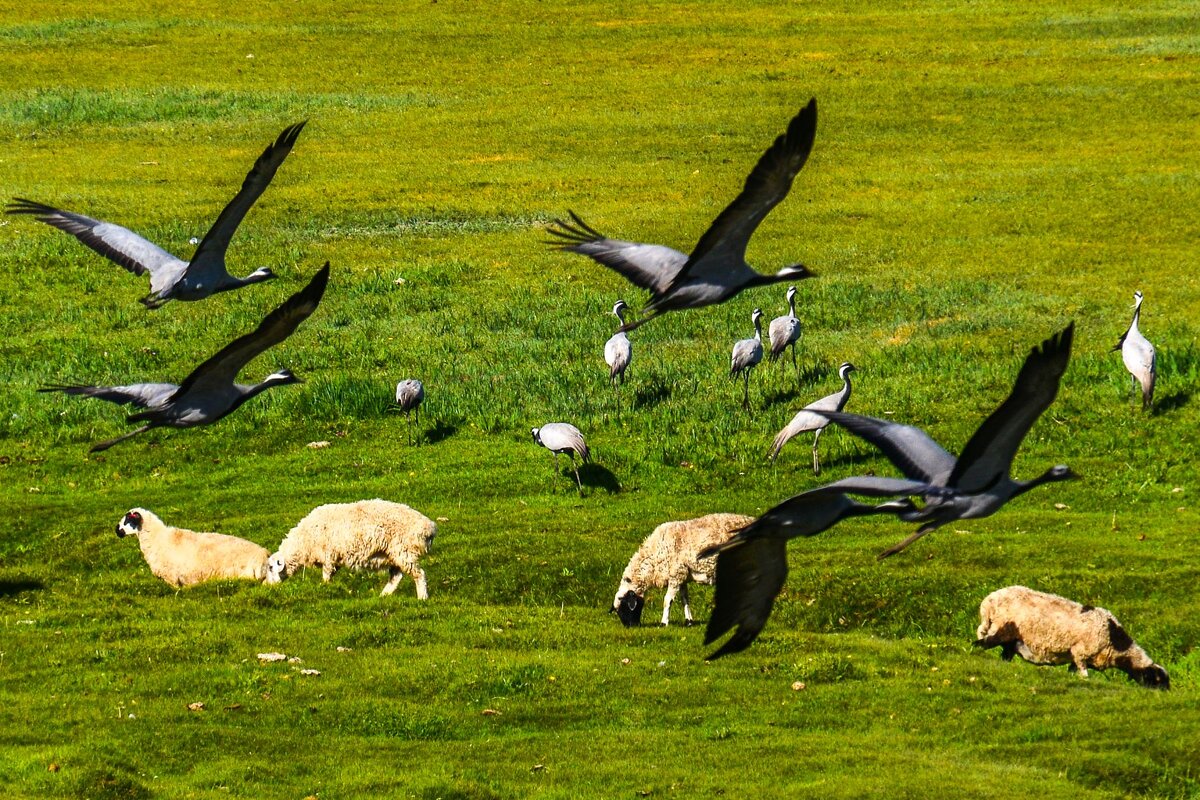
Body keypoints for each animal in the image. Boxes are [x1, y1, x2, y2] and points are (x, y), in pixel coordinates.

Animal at [266, 496, 436, 597]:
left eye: (271, 568)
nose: (266, 586)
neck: (302, 542)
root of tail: (429, 527)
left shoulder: (328, 555)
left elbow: (326, 575)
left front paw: (325, 588)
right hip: (394, 554)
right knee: (396, 576)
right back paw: (384, 596)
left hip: (404, 551)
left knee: (419, 574)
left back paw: (422, 598)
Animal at [619, 513, 748, 633]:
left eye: (624, 606)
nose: (630, 626)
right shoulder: (682, 577)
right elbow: (685, 599)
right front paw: (688, 621)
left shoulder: (675, 575)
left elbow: (667, 600)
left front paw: (663, 623)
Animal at [969, 585, 1166, 690]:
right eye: (1156, 681)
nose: (1164, 694)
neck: (1115, 642)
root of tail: (989, 601)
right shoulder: (1080, 653)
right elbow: (1084, 675)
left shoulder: (1076, 657)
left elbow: (1072, 672)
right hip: (1002, 629)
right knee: (979, 644)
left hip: (1009, 641)